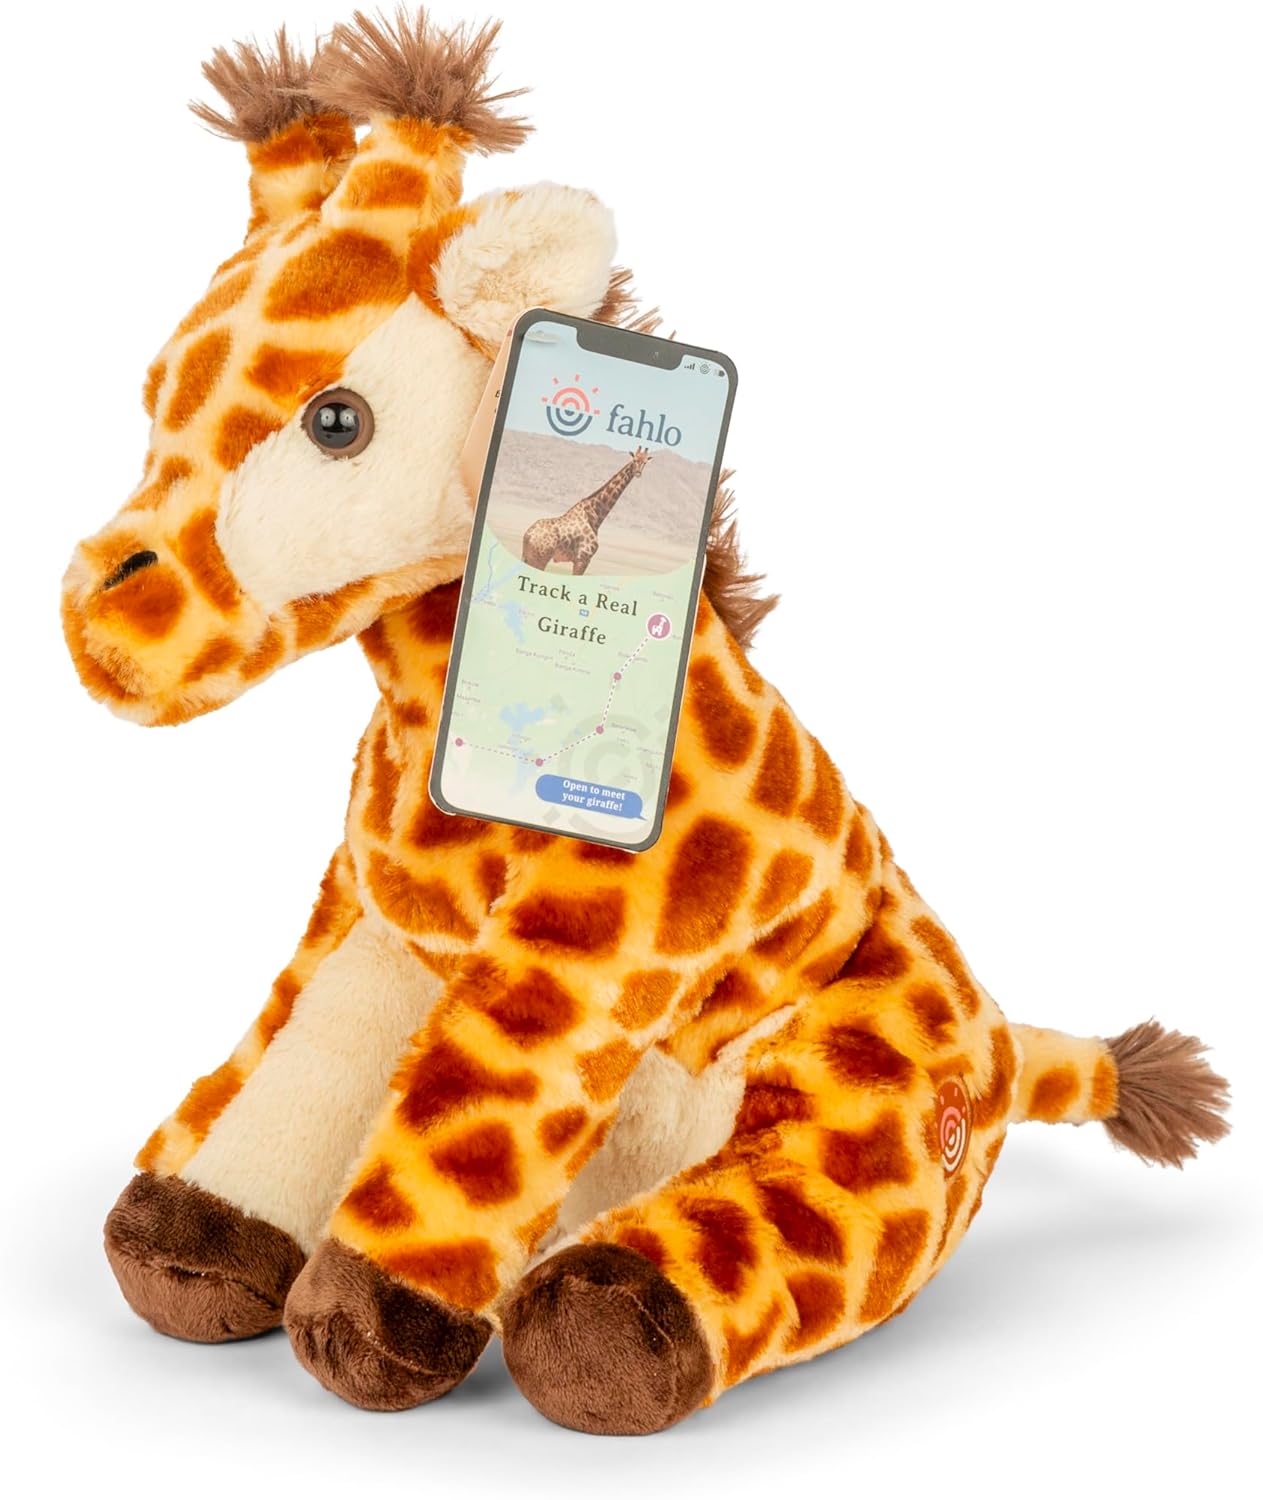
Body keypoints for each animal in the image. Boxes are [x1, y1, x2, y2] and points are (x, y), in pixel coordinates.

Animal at [521, 446, 652, 573]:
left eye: (645, 462)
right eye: (634, 460)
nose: (638, 473)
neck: (594, 515)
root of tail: (528, 535)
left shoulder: (581, 560)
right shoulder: (583, 559)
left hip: (528, 557)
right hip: (540, 559)